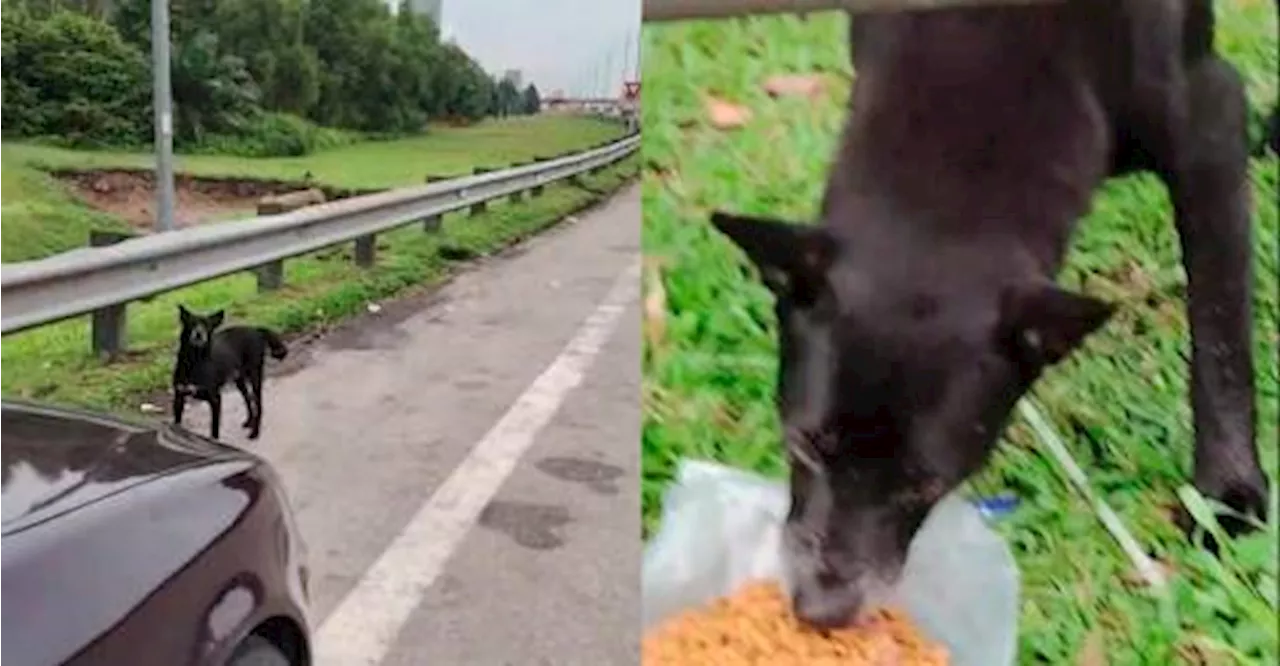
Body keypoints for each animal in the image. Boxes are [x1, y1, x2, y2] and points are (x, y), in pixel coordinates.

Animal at [171, 306, 286, 443]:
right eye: (192, 323)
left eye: (207, 325)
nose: (199, 333)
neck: (194, 362)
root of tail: (256, 329)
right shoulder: (179, 396)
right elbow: (177, 422)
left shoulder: (215, 399)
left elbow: (214, 430)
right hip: (239, 379)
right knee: (248, 399)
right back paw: (249, 422)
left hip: (254, 375)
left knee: (258, 404)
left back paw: (255, 432)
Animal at [716, 0, 1274, 630]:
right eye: (805, 443)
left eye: (924, 483)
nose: (821, 610)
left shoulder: (1210, 119)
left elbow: (1221, 329)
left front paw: (1226, 495)